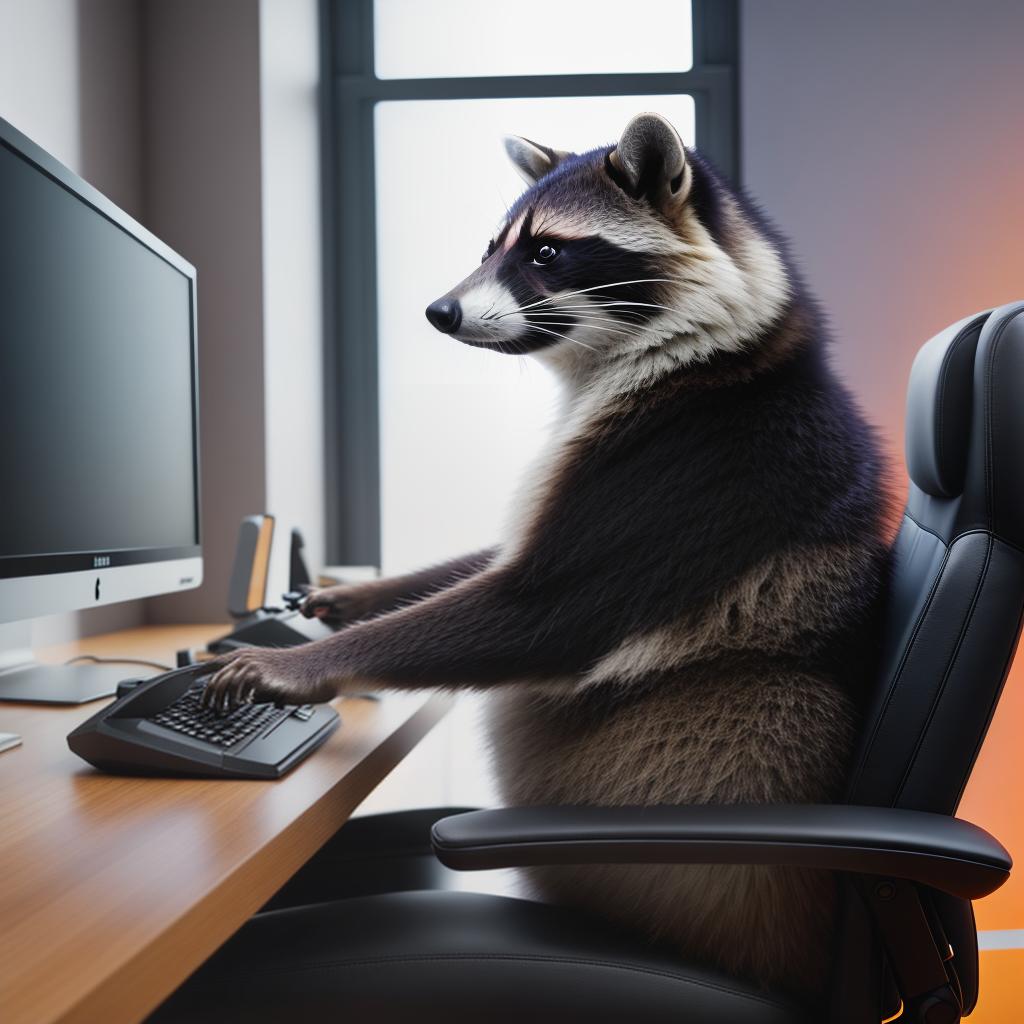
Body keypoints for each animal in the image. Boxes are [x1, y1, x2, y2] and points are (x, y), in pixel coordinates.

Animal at [199, 114, 888, 999]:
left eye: (549, 252)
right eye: (491, 245)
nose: (439, 310)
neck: (708, 352)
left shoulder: (700, 467)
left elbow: (540, 606)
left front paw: (308, 660)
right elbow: (498, 556)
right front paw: (356, 597)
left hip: (743, 749)